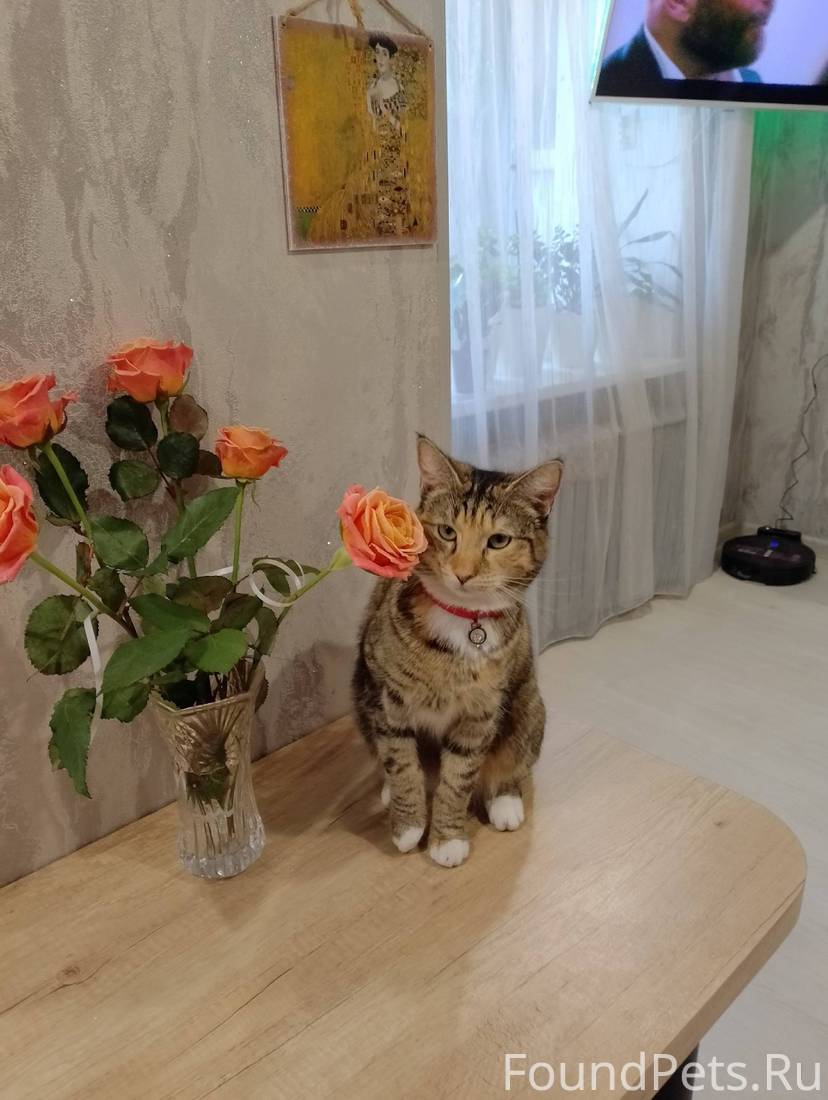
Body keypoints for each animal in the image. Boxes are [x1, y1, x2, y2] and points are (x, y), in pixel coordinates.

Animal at [352, 435, 563, 868]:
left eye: (498, 540)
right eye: (447, 531)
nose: (463, 573)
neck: (462, 624)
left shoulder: (479, 715)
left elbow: (459, 778)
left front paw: (447, 839)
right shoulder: (387, 700)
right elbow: (401, 761)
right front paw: (408, 825)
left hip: (528, 707)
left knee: (514, 761)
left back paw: (505, 802)